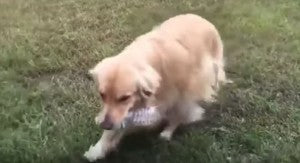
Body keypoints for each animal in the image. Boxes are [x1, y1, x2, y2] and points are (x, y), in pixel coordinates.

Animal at [84, 13, 230, 161]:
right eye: (102, 95)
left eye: (124, 97)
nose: (105, 125)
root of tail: (200, 17)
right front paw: (98, 150)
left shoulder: (181, 96)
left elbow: (178, 114)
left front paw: (168, 132)